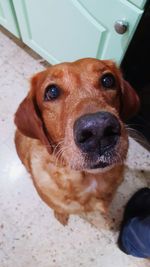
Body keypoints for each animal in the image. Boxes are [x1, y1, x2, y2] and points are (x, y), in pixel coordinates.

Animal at [14, 59, 139, 226]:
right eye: (52, 91)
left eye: (108, 80)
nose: (98, 129)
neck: (90, 179)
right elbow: (60, 208)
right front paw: (61, 214)